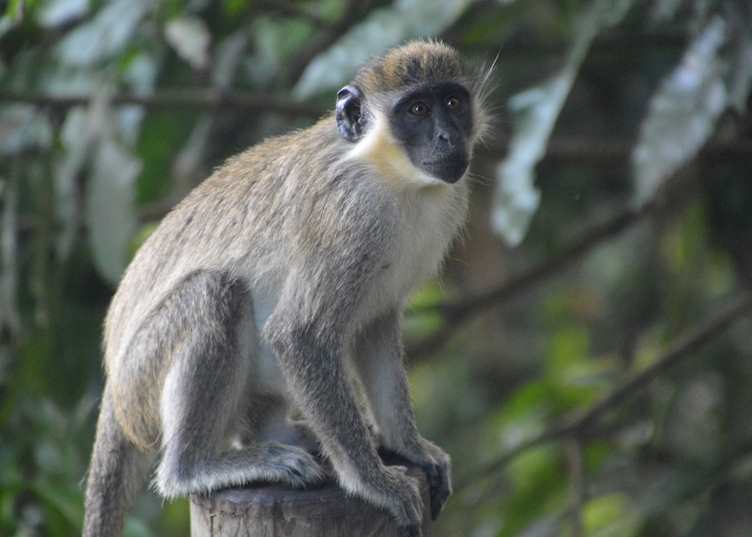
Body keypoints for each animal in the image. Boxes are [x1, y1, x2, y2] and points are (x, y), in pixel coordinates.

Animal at [83, 40, 492, 537]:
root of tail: (114, 390)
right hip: (143, 380)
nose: (447, 138)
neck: (391, 177)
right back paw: (195, 467)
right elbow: (299, 334)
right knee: (213, 293)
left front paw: (408, 446)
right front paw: (375, 484)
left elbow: (375, 326)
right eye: (416, 110)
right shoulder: (347, 219)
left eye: (452, 102)